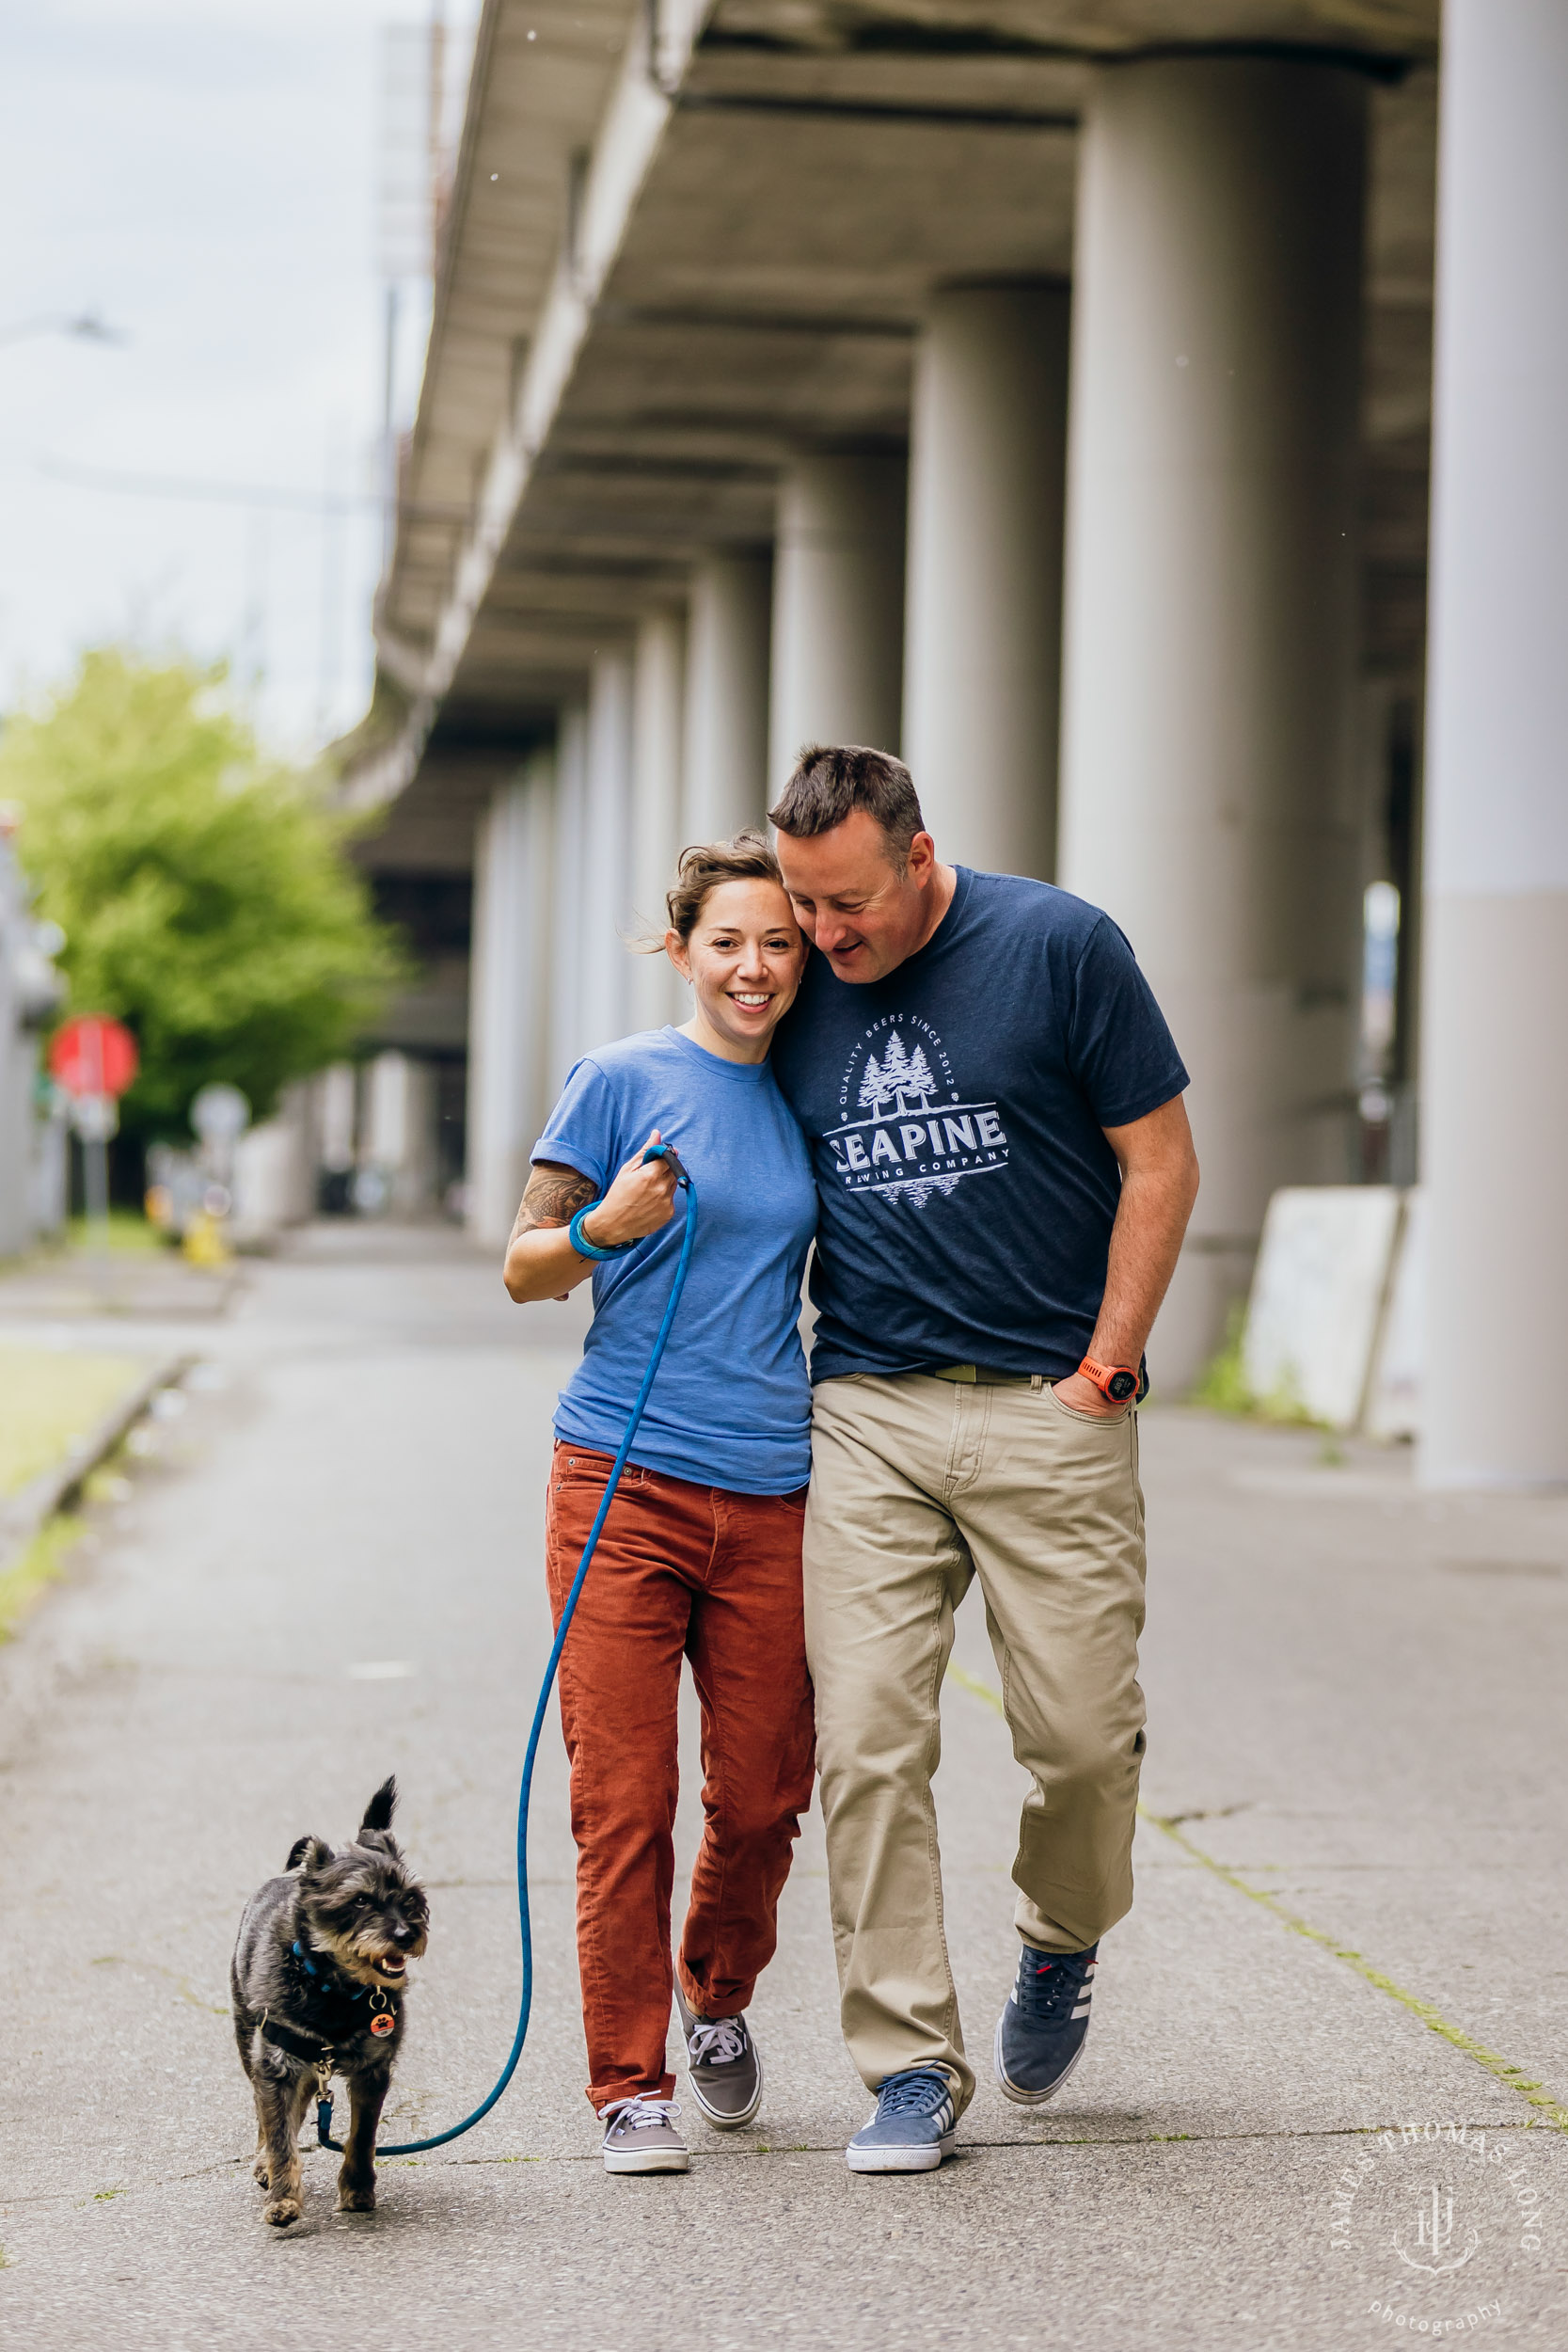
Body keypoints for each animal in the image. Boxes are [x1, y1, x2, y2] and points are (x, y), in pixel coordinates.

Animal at [231, 1778, 430, 2220]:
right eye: (359, 1900)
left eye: (410, 1897)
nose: (407, 1934)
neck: (333, 1987)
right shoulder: (277, 2065)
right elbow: (280, 2135)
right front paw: (283, 2198)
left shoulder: (373, 2071)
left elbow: (362, 2137)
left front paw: (357, 2189)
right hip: (251, 2041)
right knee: (266, 2113)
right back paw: (264, 2162)